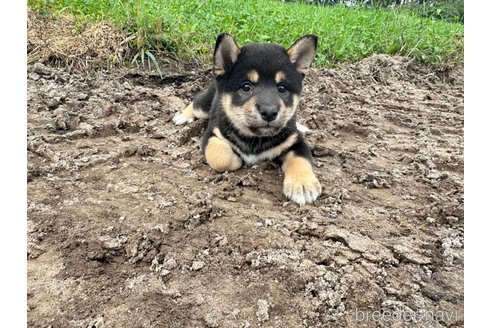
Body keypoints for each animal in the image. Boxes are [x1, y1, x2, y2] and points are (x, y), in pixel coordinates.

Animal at [174, 34, 322, 205]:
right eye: (246, 87)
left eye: (282, 88)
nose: (269, 112)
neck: (255, 138)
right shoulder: (211, 134)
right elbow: (221, 157)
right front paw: (237, 159)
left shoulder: (296, 141)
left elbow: (301, 160)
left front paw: (303, 184)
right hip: (204, 106)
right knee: (196, 100)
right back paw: (183, 116)